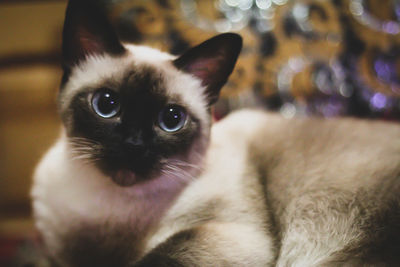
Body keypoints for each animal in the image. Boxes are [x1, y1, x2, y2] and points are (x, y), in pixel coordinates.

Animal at [30, 0, 400, 267]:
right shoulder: (54, 255)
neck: (111, 218)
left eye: (171, 119)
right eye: (106, 105)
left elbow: (157, 257)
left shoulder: (232, 236)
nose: (134, 144)